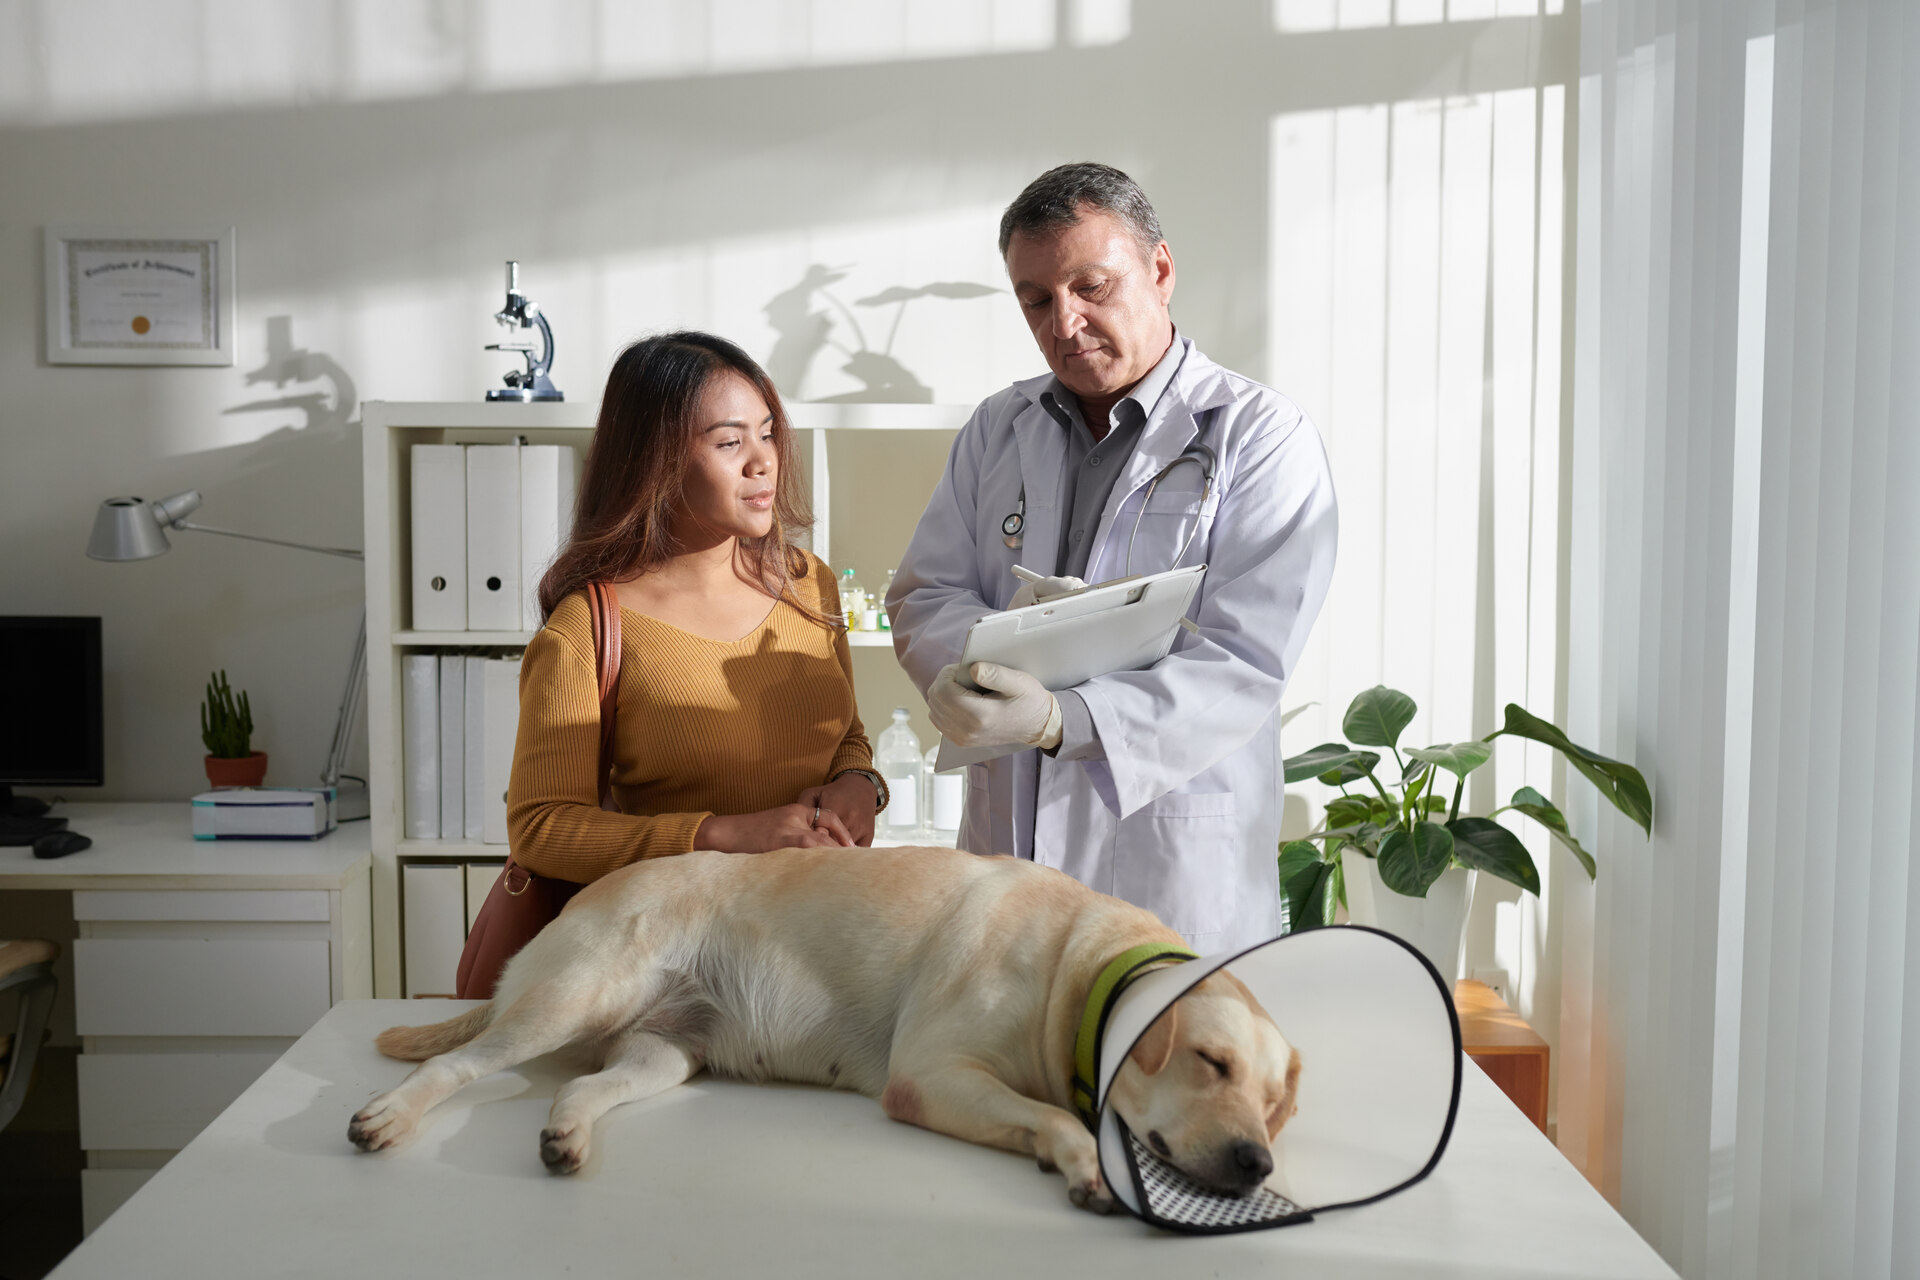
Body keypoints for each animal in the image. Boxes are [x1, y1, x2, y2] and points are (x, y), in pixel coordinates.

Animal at [351, 852, 1297, 1212]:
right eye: (1210, 1062)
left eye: (1272, 1102)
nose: (1257, 1163)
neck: (1081, 963)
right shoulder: (931, 1075)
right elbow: (1059, 1117)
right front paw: (1084, 1165)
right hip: (571, 999)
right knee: (457, 1064)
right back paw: (387, 1116)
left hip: (662, 1056)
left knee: (582, 1087)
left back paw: (566, 1137)